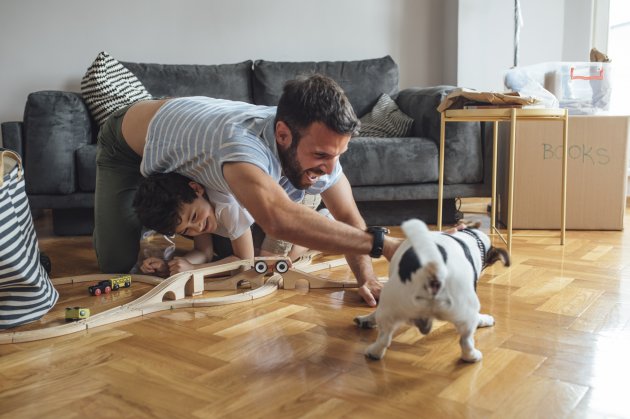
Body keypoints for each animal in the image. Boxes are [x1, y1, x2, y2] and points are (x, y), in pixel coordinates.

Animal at [358, 218, 512, 362]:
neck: (472, 237)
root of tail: (433, 269)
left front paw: (366, 319)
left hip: (390, 308)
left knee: (384, 338)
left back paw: (373, 352)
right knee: (466, 339)